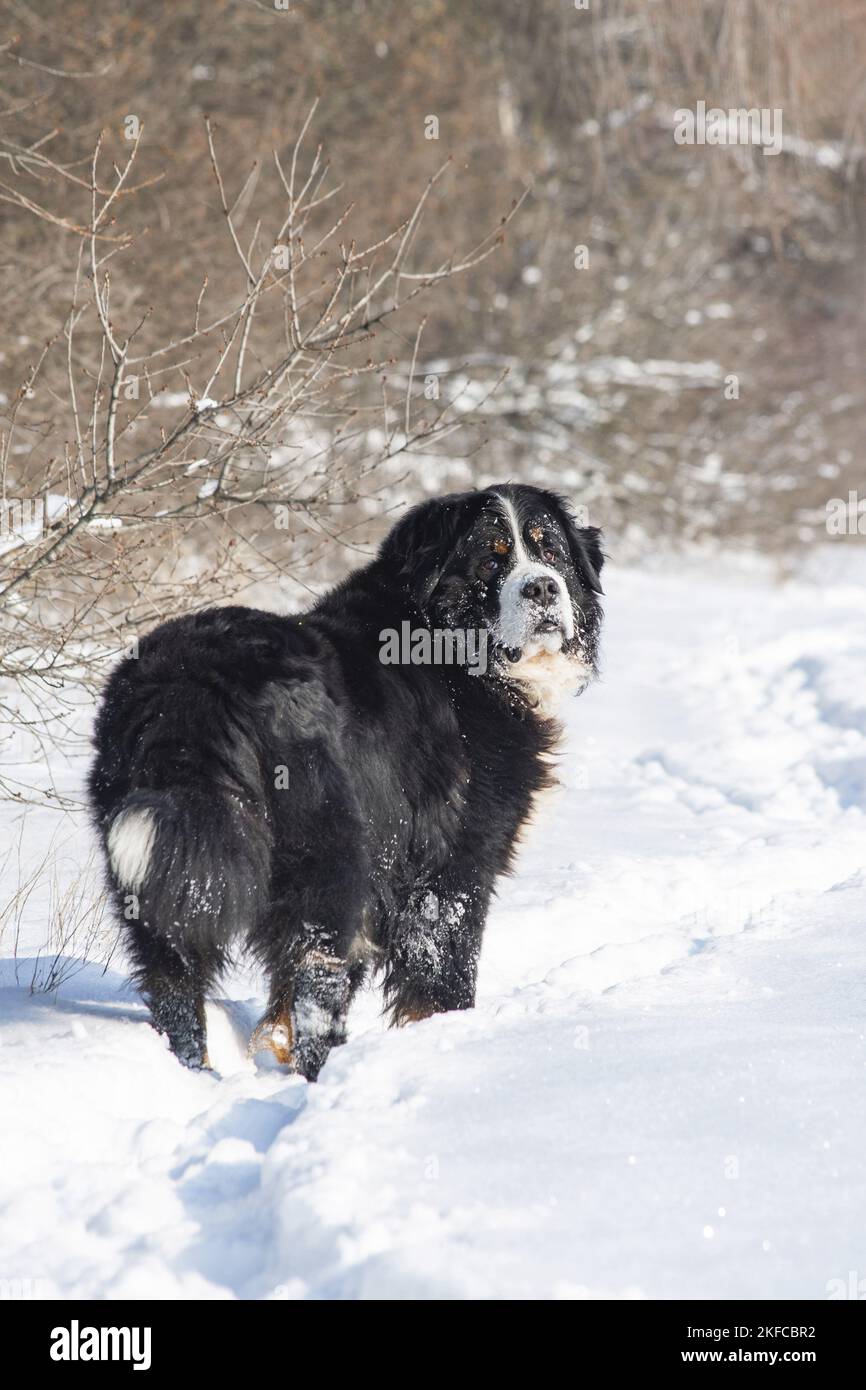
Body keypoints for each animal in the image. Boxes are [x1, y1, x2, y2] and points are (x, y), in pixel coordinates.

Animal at [88, 483, 603, 1078]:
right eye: (490, 560)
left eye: (551, 550)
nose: (543, 586)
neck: (452, 646)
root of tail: (194, 684)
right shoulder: (456, 863)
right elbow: (442, 971)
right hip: (331, 858)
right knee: (315, 976)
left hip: (161, 860)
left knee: (176, 974)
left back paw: (195, 1071)